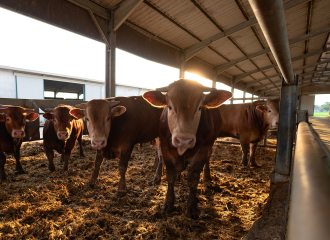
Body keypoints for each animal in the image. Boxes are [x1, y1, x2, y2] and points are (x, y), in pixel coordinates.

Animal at [142, 79, 232, 218]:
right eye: (169, 107)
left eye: (200, 108)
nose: (184, 140)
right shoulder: (165, 147)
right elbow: (170, 176)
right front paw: (168, 204)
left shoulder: (203, 149)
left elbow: (193, 179)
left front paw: (191, 207)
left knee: (208, 160)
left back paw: (207, 176)